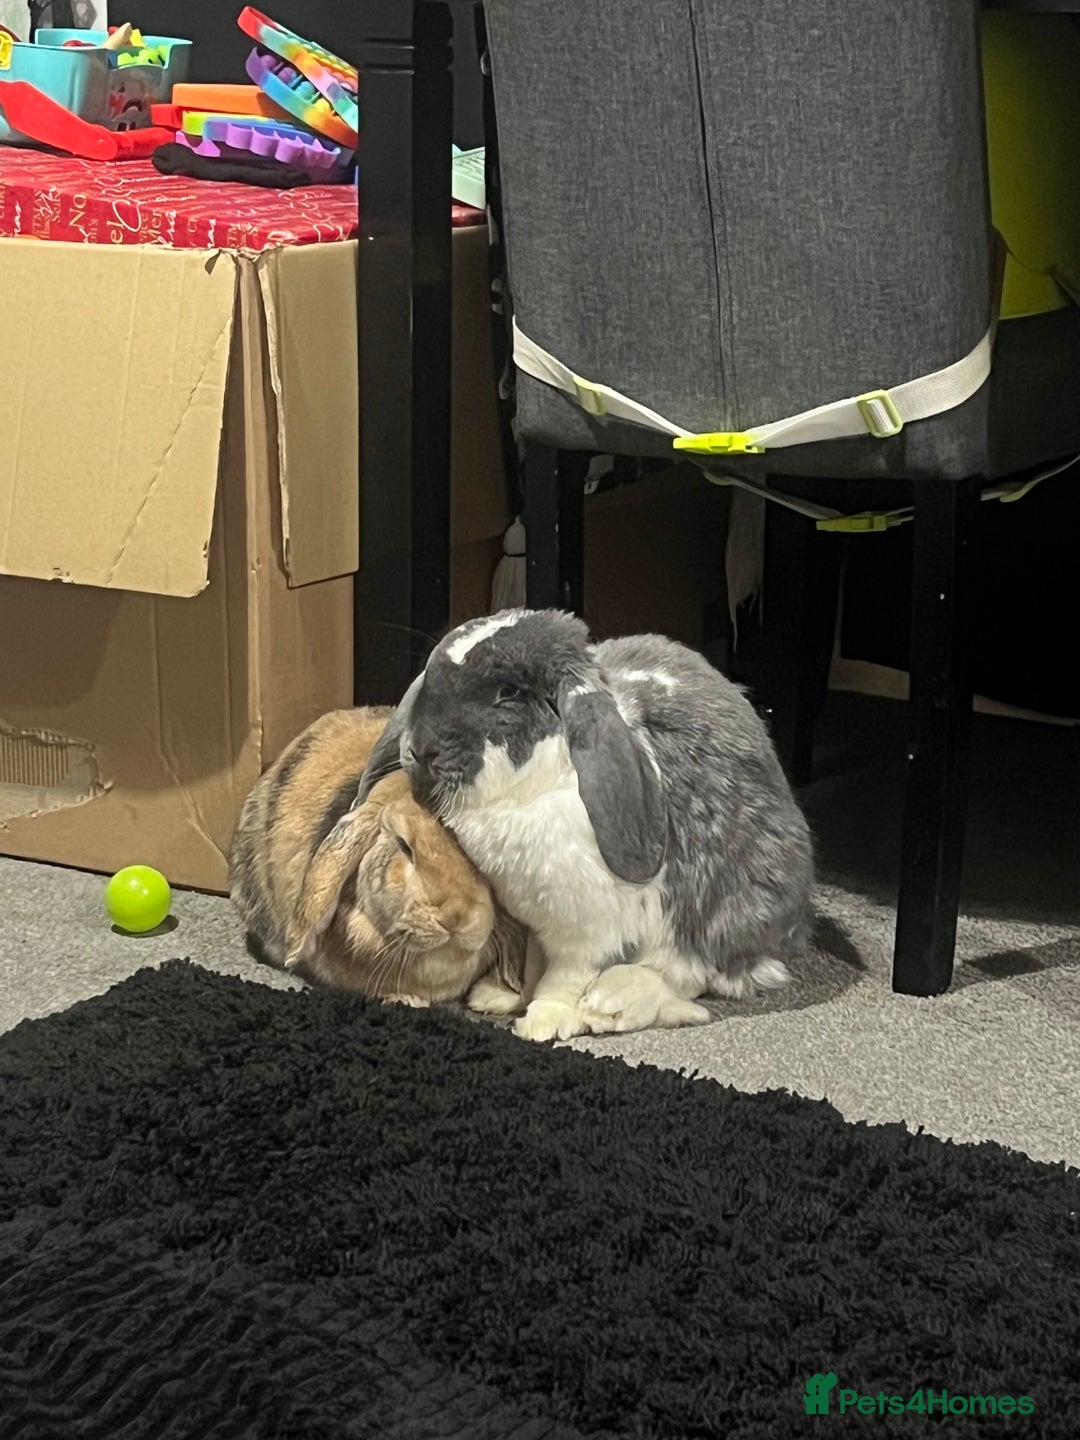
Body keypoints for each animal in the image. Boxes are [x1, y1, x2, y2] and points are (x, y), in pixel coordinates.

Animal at [336, 609, 814, 1043]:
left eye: (508, 692)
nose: (421, 749)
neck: (529, 789)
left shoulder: (585, 932)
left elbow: (562, 977)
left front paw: (542, 1021)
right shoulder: (531, 920)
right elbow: (531, 966)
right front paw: (506, 997)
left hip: (722, 913)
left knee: (691, 972)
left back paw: (611, 1003)